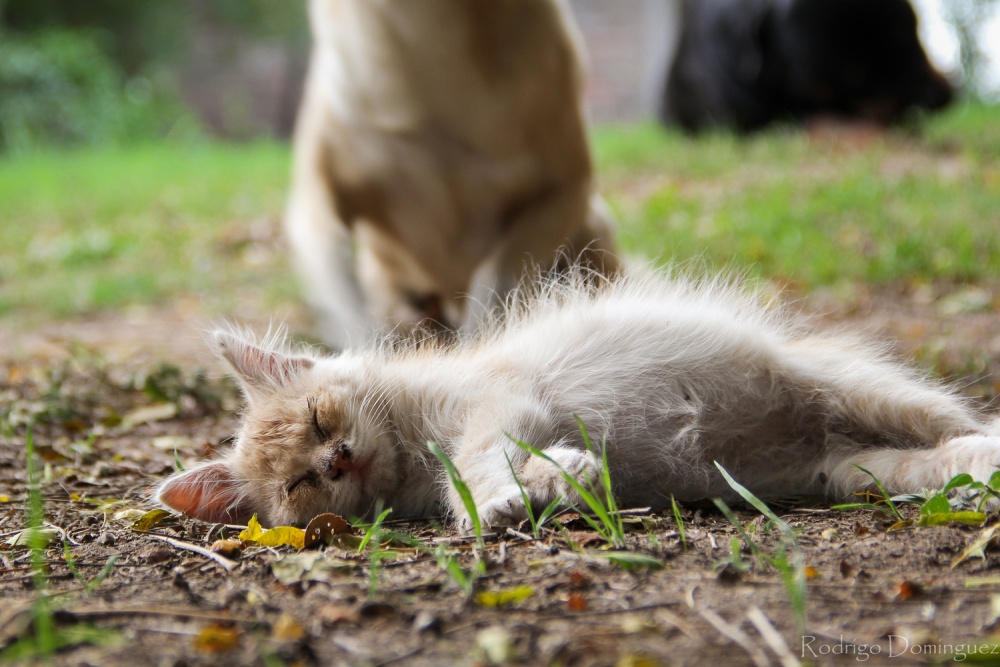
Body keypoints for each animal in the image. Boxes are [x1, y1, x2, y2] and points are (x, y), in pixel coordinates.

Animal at [156, 268, 1000, 528]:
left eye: (320, 417)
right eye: (300, 484)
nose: (336, 460)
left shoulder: (501, 398)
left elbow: (473, 458)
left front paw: (498, 496)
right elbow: (522, 469)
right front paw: (554, 483)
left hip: (852, 386)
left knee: (956, 419)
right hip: (849, 469)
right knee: (926, 460)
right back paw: (975, 474)